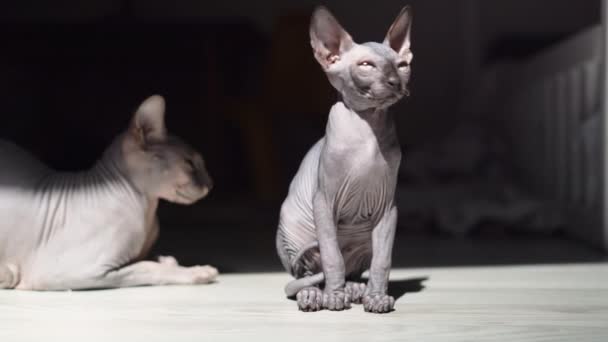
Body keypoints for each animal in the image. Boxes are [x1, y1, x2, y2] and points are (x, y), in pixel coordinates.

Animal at [0, 96, 218, 292]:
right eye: (189, 164)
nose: (211, 184)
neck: (147, 211)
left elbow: (148, 260)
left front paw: (169, 261)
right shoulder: (62, 271)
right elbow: (145, 267)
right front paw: (196, 272)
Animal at [276, 5, 414, 314]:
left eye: (402, 65)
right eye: (366, 65)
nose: (395, 82)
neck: (368, 131)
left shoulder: (388, 208)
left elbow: (382, 261)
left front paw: (376, 297)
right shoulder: (324, 202)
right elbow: (332, 257)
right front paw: (333, 297)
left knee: (353, 268)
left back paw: (355, 289)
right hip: (292, 225)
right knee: (306, 275)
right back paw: (316, 294)